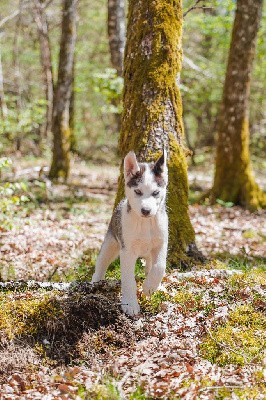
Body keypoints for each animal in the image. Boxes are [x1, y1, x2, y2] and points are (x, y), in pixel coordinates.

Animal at [91, 150, 168, 316]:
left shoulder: (161, 244)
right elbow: (128, 279)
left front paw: (149, 287)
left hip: (148, 253)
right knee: (100, 266)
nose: (146, 211)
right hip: (110, 244)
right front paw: (130, 304)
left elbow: (160, 267)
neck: (145, 224)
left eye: (156, 192)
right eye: (138, 191)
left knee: (150, 267)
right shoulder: (127, 251)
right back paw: (93, 285)